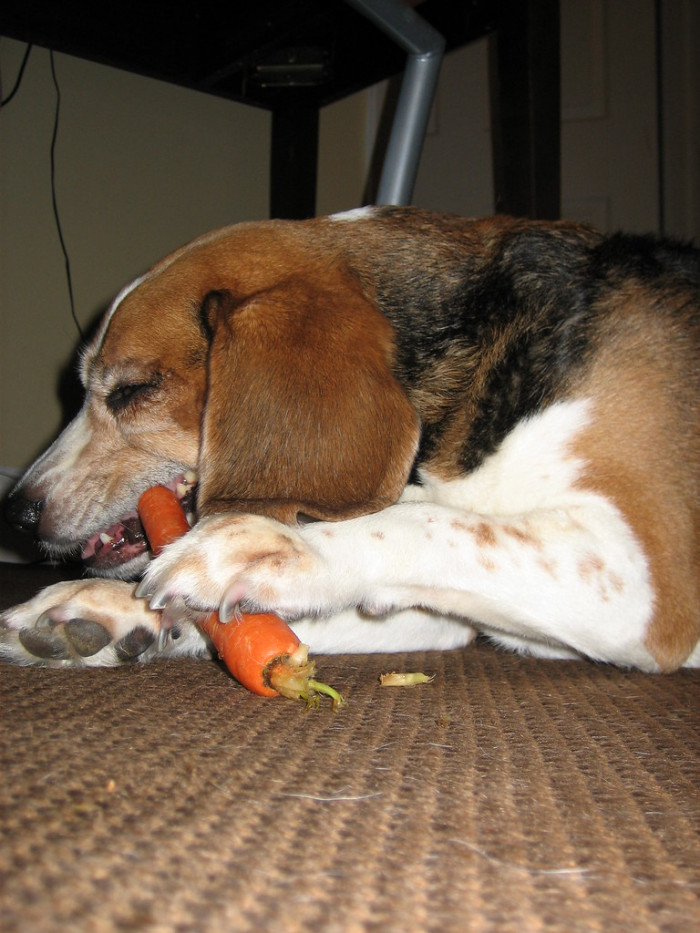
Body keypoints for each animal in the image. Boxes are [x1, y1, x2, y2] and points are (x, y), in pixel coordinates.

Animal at [1, 208, 700, 668]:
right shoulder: (447, 617)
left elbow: (424, 522)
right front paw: (108, 613)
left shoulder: (640, 579)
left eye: (132, 391)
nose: (16, 512)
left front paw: (276, 547)